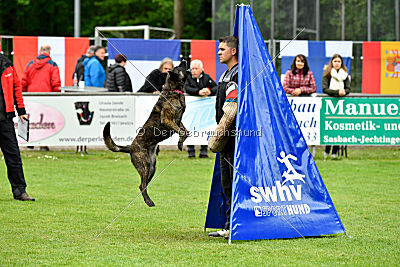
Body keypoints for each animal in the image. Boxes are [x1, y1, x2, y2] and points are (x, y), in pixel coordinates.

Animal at [103, 60, 191, 207]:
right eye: (179, 67)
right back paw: (149, 202)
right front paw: (180, 143)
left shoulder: (179, 121)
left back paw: (146, 200)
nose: (184, 60)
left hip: (152, 167)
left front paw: (180, 143)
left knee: (143, 185)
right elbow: (182, 132)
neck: (174, 91)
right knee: (142, 185)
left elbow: (186, 131)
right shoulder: (168, 120)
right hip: (144, 166)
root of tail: (130, 147)